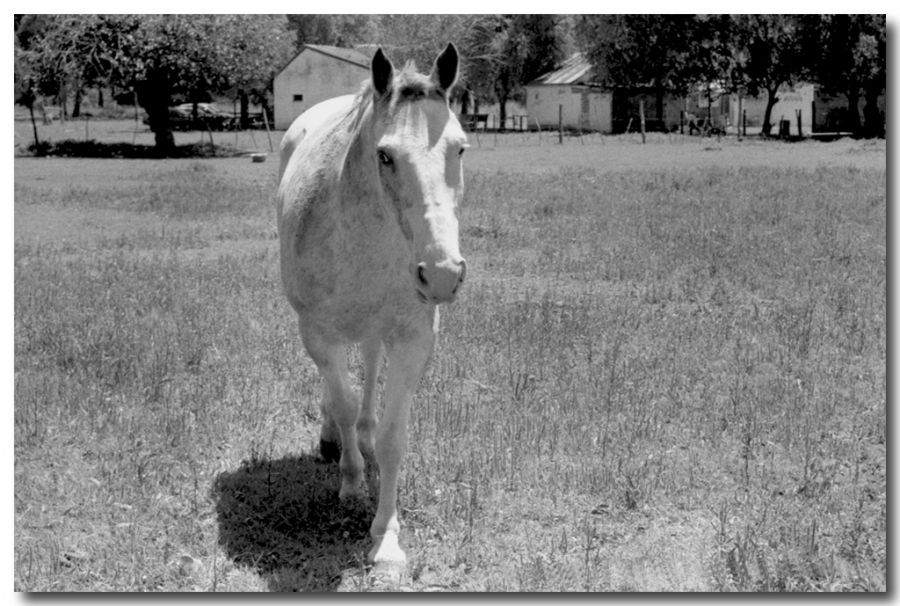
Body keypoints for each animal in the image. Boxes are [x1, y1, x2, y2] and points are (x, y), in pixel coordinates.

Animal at [278, 44, 468, 580]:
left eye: (460, 149)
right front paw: (351, 483)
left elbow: (391, 437)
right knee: (337, 387)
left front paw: (385, 538)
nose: (441, 274)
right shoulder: (318, 332)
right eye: (385, 155)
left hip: (375, 329)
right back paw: (334, 442)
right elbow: (341, 401)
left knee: (368, 365)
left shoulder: (413, 338)